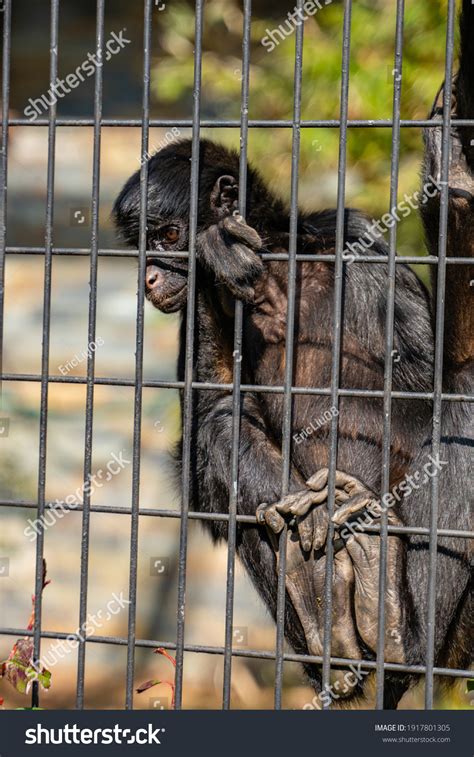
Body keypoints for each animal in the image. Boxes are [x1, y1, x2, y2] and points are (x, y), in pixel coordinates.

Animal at [113, 2, 472, 708]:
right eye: (143, 244)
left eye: (166, 236)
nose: (150, 274)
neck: (278, 282)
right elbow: (211, 430)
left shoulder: (352, 237)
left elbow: (444, 378)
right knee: (221, 438)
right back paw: (337, 623)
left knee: (465, 406)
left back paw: (398, 630)